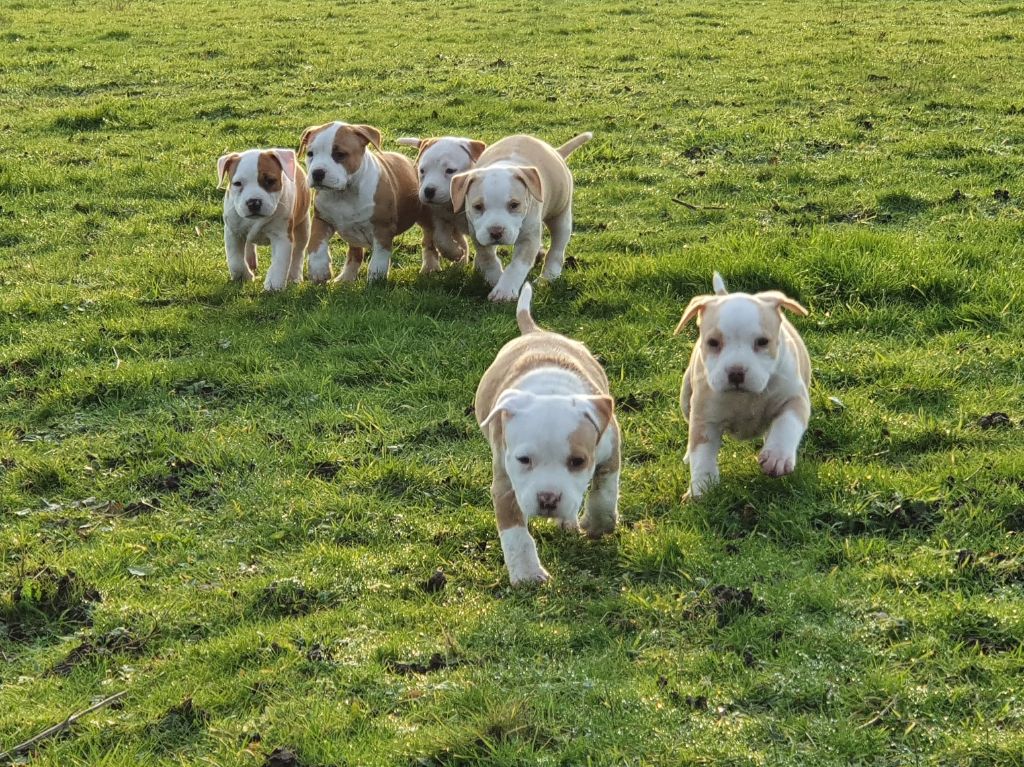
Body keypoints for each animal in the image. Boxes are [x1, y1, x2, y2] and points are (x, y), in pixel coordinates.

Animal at [216, 147, 307, 290]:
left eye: (270, 181)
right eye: (237, 184)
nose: (253, 202)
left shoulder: (282, 236)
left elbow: (280, 262)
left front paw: (274, 284)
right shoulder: (233, 232)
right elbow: (235, 261)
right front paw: (244, 277)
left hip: (304, 224)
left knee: (299, 251)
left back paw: (295, 276)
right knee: (248, 244)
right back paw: (250, 261)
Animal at [393, 134, 485, 272]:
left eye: (450, 170)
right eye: (422, 170)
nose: (428, 191)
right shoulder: (439, 219)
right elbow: (441, 240)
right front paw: (454, 253)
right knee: (429, 241)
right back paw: (431, 267)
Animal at [475, 284, 618, 581]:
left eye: (578, 461)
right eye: (524, 460)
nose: (548, 499)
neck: (550, 391)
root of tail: (535, 332)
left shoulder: (610, 444)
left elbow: (606, 489)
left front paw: (597, 523)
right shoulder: (505, 476)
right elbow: (514, 531)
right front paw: (527, 575)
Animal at [675, 272, 811, 499]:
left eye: (763, 342)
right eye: (713, 342)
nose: (736, 372)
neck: (745, 397)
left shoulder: (794, 398)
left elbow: (787, 423)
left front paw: (777, 456)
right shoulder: (705, 416)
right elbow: (702, 453)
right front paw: (701, 488)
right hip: (686, 398)